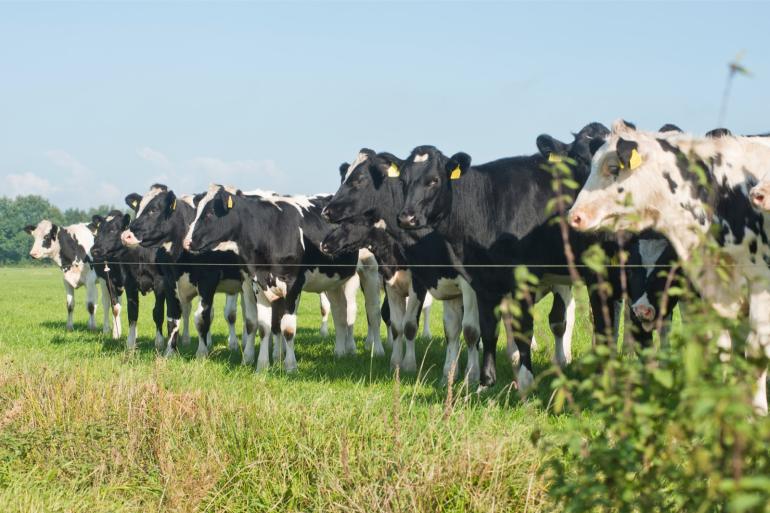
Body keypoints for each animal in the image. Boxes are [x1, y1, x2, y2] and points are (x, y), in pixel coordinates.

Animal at [118, 186, 254, 358]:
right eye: (137, 209)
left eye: (154, 210)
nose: (126, 235)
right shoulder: (169, 282)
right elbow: (172, 317)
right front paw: (170, 352)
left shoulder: (207, 282)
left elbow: (202, 318)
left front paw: (201, 353)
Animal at [184, 186, 380, 370]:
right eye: (196, 211)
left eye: (210, 212)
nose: (187, 242)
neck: (269, 232)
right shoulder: (257, 283)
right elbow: (262, 326)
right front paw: (262, 365)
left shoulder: (293, 284)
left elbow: (287, 327)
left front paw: (290, 366)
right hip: (333, 281)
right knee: (340, 312)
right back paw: (340, 353)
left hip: (369, 271)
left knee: (370, 312)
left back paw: (373, 350)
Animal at [390, 122, 616, 390]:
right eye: (403, 180)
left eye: (433, 180)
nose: (406, 217)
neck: (487, 203)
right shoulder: (483, 282)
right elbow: (487, 330)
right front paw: (485, 383)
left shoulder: (524, 280)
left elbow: (524, 330)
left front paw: (526, 380)